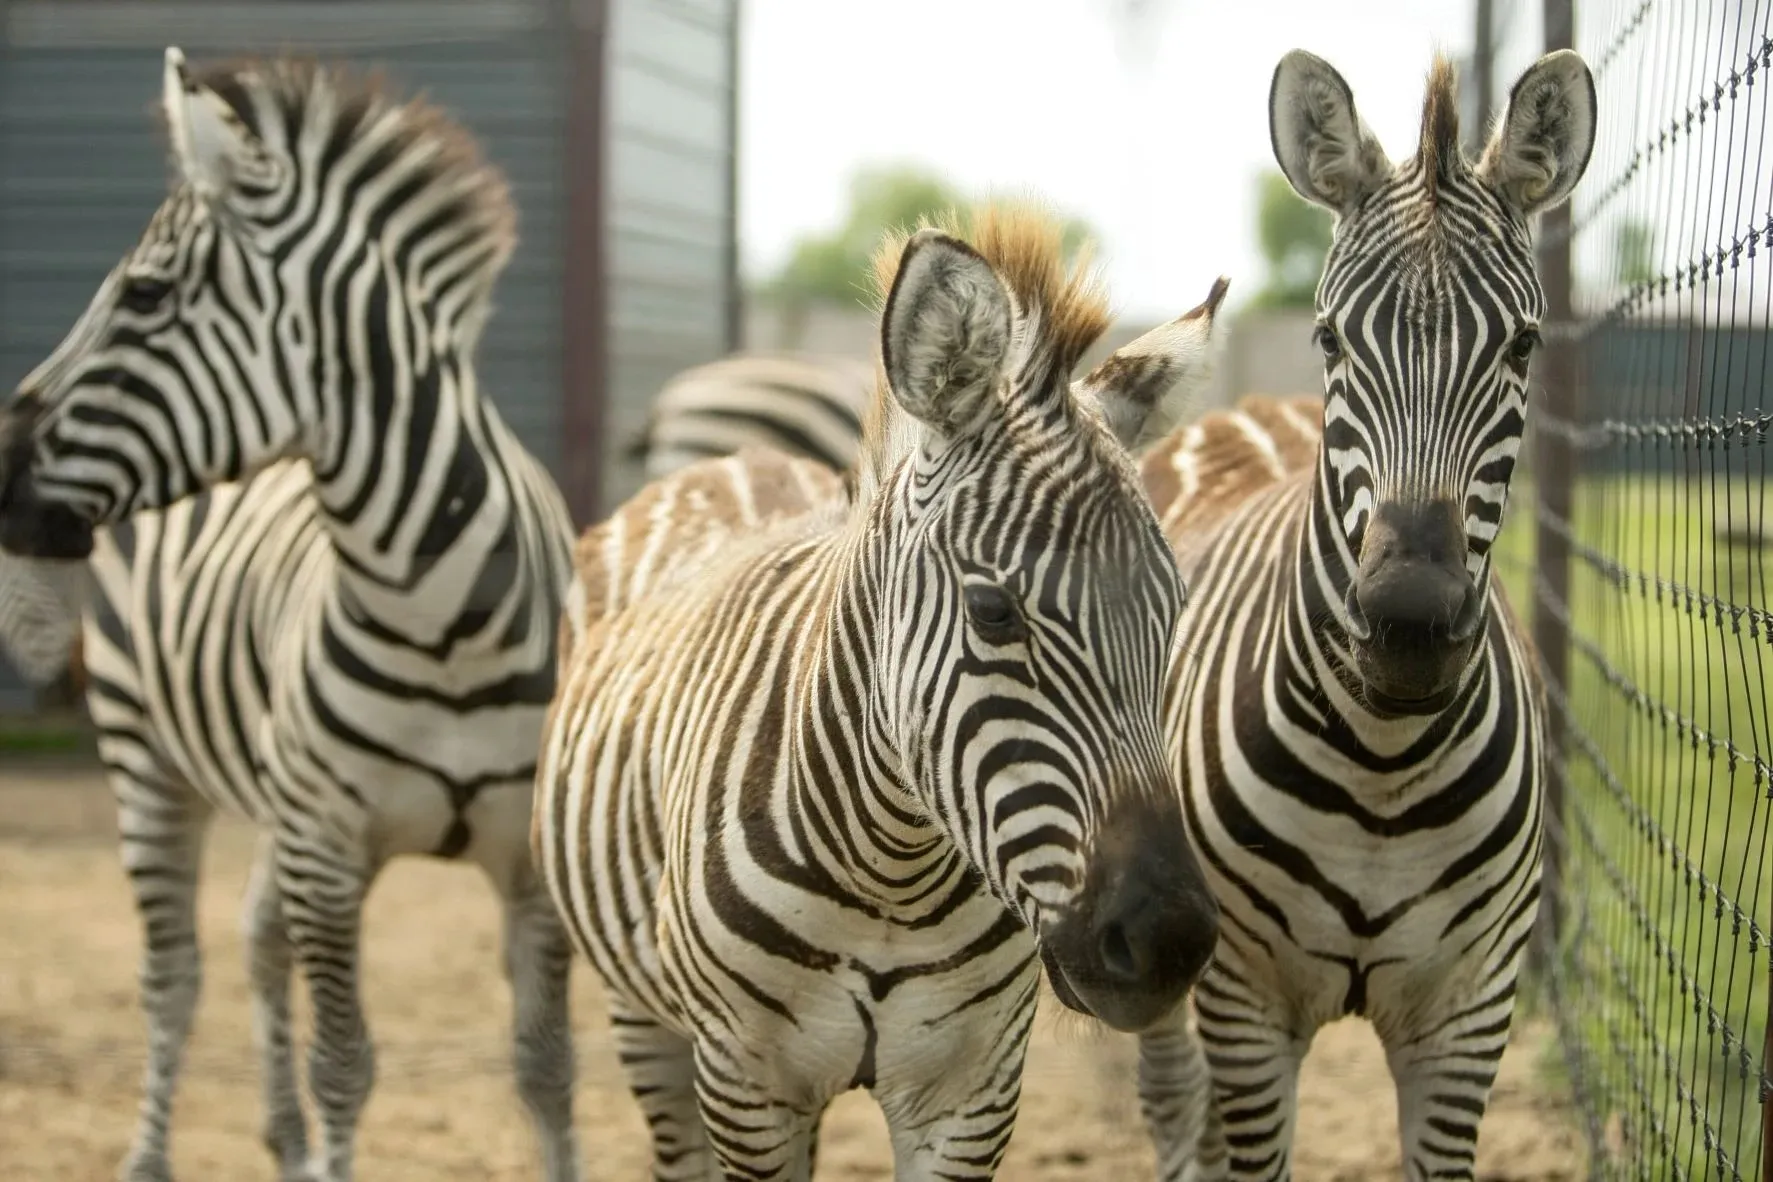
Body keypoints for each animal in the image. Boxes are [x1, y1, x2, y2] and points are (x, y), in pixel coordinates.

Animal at [0, 50, 581, 1182]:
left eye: (144, 293)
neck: (445, 622)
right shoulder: (326, 843)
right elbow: (345, 1064)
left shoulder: (524, 862)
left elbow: (545, 1073)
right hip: (147, 761)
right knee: (173, 976)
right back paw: (152, 1157)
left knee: (255, 938)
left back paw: (283, 1143)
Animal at [1132, 50, 1596, 1180]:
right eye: (1330, 334)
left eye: (1525, 346)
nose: (1409, 626)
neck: (1383, 766)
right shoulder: (1246, 1005)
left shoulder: (1468, 1015)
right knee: (1172, 1098)